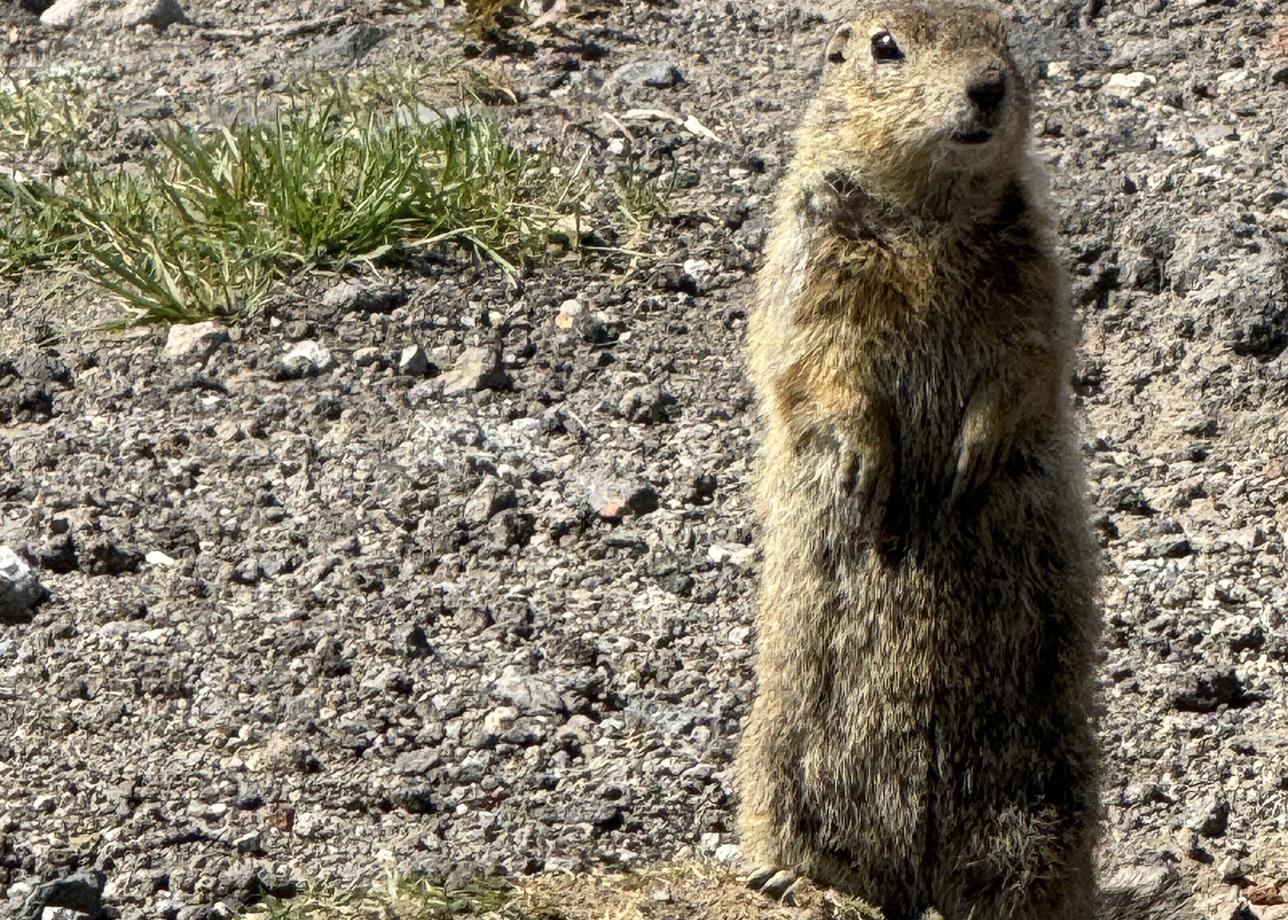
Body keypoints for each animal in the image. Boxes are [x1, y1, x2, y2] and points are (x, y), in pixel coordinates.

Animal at [741, 3, 1102, 912]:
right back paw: (792, 876)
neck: (929, 217)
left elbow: (1029, 357)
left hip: (1046, 791)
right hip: (783, 754)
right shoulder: (815, 251)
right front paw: (869, 459)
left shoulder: (1030, 262)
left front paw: (974, 454)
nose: (988, 87)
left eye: (1006, 39)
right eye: (885, 46)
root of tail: (919, 878)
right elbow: (818, 358)